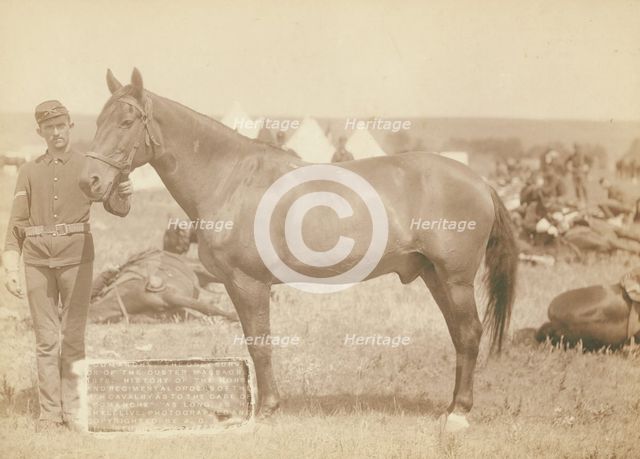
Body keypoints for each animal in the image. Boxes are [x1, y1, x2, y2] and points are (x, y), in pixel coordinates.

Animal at [79, 68, 518, 432]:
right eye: (97, 122)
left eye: (126, 121)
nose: (90, 181)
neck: (231, 179)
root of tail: (479, 181)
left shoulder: (249, 284)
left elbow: (260, 344)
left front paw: (267, 409)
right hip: (434, 276)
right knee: (459, 335)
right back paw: (452, 407)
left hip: (455, 279)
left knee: (469, 333)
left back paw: (459, 414)